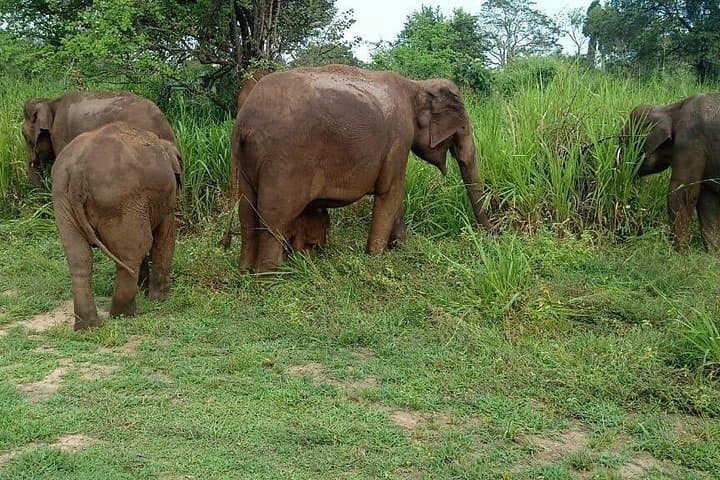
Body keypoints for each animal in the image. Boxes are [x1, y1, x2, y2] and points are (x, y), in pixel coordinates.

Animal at [52, 122, 182, 330]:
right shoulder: (166, 200)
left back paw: (88, 326)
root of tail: (79, 170)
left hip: (62, 200)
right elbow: (165, 235)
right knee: (133, 252)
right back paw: (124, 315)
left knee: (80, 259)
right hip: (121, 201)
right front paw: (159, 299)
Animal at [228, 64, 492, 273]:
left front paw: (400, 249)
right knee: (274, 215)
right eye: (463, 128)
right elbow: (390, 190)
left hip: (249, 160)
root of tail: (244, 123)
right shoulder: (400, 136)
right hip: (283, 160)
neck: (416, 85)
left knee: (247, 211)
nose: (491, 234)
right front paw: (377, 257)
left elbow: (396, 192)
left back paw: (245, 271)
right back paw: (270, 278)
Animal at [622, 93, 720, 253]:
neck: (669, 109)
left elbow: (681, 194)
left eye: (622, 142)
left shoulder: (690, 143)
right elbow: (708, 199)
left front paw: (680, 252)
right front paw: (713, 253)